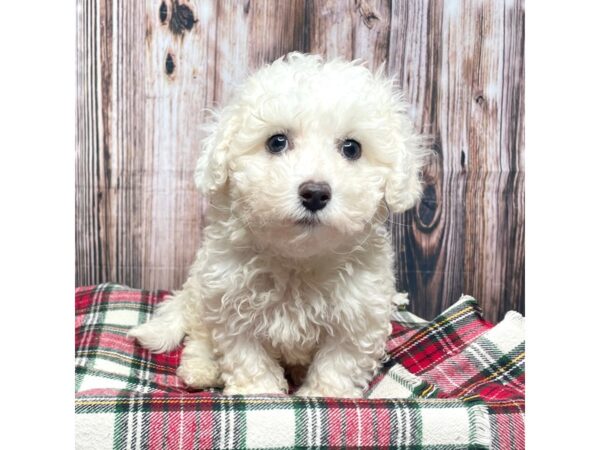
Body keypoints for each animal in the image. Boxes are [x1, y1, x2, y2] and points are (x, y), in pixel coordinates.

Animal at [129, 53, 428, 398]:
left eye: (352, 148)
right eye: (277, 142)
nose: (315, 193)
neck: (297, 258)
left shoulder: (357, 317)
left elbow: (339, 363)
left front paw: (323, 395)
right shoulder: (230, 307)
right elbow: (248, 358)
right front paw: (258, 392)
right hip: (202, 293)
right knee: (200, 336)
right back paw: (201, 370)